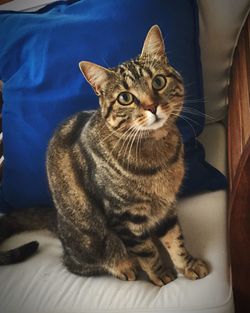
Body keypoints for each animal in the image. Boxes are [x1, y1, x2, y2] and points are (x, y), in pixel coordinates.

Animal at [0, 25, 209, 286]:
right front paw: (161, 275)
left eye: (158, 81)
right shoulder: (125, 218)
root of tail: (57, 222)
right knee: (81, 263)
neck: (156, 151)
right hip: (92, 243)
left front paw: (187, 265)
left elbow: (175, 241)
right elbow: (147, 253)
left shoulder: (167, 207)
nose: (152, 106)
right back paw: (123, 267)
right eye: (125, 98)